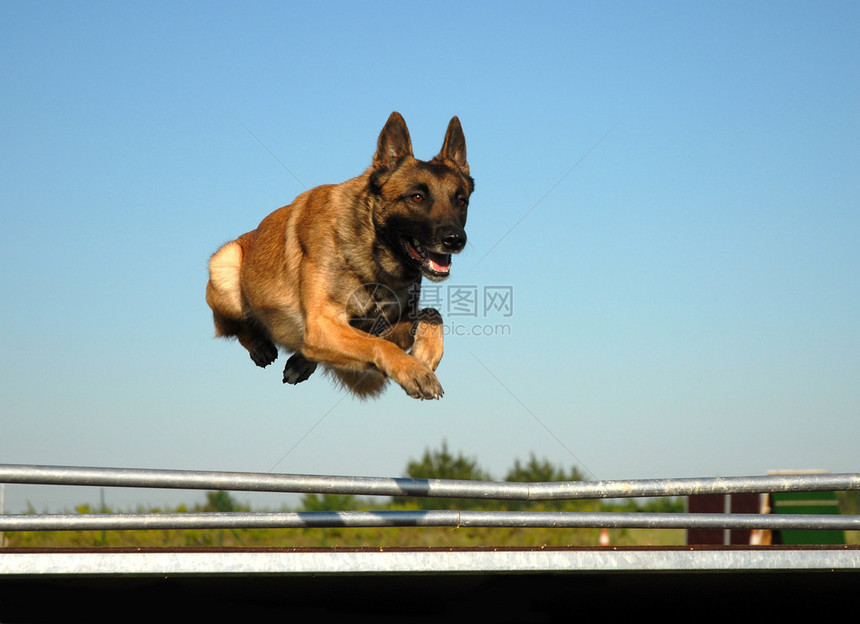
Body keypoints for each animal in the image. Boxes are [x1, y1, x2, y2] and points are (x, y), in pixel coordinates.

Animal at [206, 112, 474, 400]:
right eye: (416, 197)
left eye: (461, 201)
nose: (455, 239)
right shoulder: (322, 324)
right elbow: (379, 345)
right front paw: (415, 370)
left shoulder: (380, 326)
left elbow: (431, 314)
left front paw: (425, 355)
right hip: (225, 263)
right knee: (237, 326)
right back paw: (259, 345)